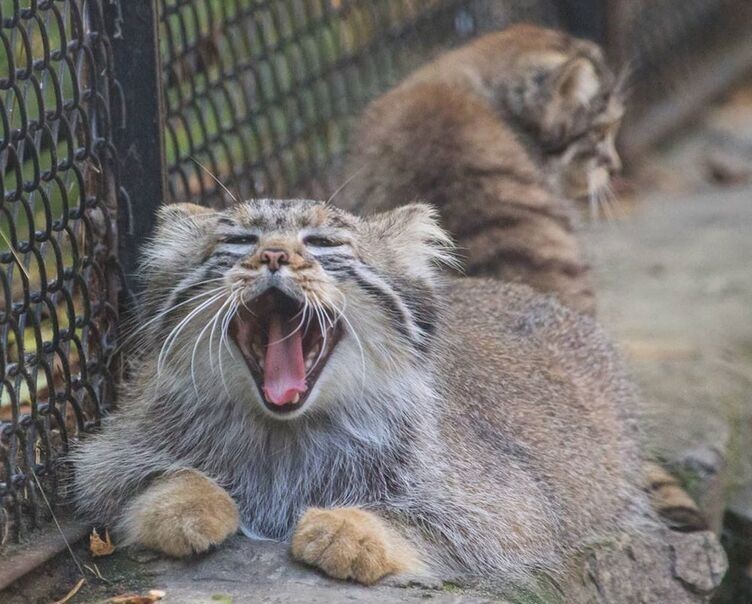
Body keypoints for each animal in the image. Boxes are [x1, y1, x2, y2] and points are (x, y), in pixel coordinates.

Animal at [73, 199, 656, 588]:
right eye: (238, 242)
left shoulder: (516, 509)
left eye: (322, 245)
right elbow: (124, 482)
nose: (274, 256)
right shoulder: (110, 450)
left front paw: (354, 530)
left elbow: (450, 531)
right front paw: (185, 501)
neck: (285, 433)